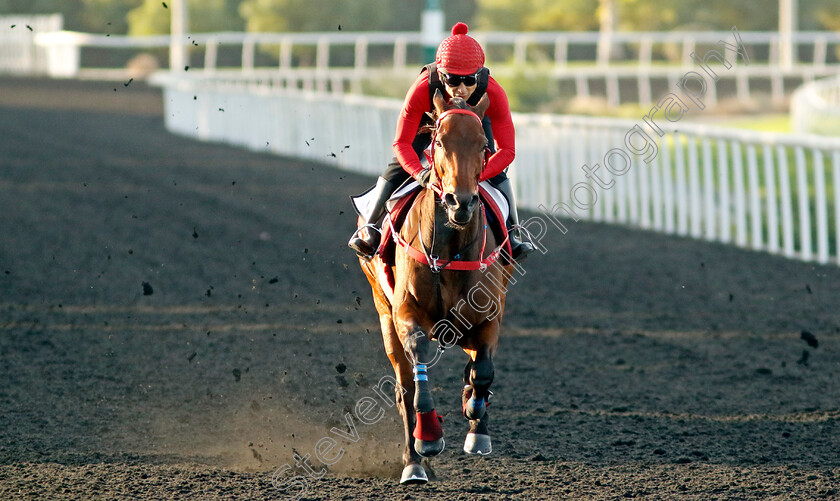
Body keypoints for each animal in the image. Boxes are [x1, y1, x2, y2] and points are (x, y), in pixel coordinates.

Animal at [360, 90, 516, 484]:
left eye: (483, 145)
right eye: (440, 142)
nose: (460, 201)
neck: (450, 249)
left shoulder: (489, 315)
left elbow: (483, 371)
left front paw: (476, 422)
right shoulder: (405, 313)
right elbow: (418, 368)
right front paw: (428, 437)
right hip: (383, 313)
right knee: (404, 388)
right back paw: (414, 463)